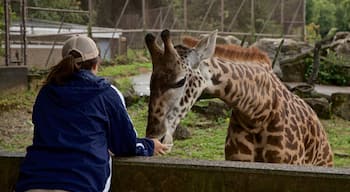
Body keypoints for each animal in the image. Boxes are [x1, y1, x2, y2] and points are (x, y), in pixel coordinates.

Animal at [145, 29, 334, 166]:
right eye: (150, 83)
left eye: (180, 81)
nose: (156, 139)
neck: (257, 113)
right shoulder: (238, 159)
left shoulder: (288, 162)